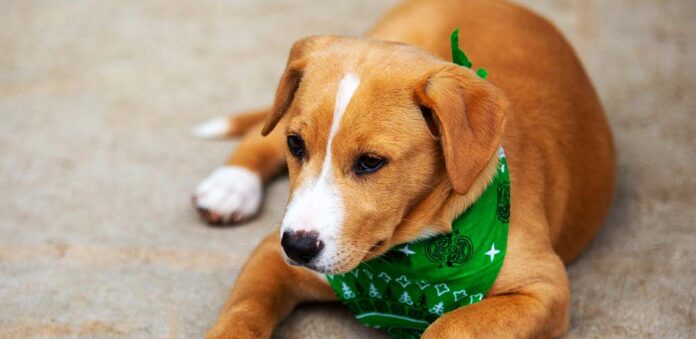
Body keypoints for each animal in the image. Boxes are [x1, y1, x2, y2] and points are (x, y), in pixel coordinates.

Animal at [189, 0, 616, 338]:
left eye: (370, 162)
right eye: (296, 144)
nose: (297, 246)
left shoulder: (545, 288)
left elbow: (452, 324)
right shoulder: (270, 255)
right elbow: (242, 311)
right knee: (262, 131)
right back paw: (231, 185)